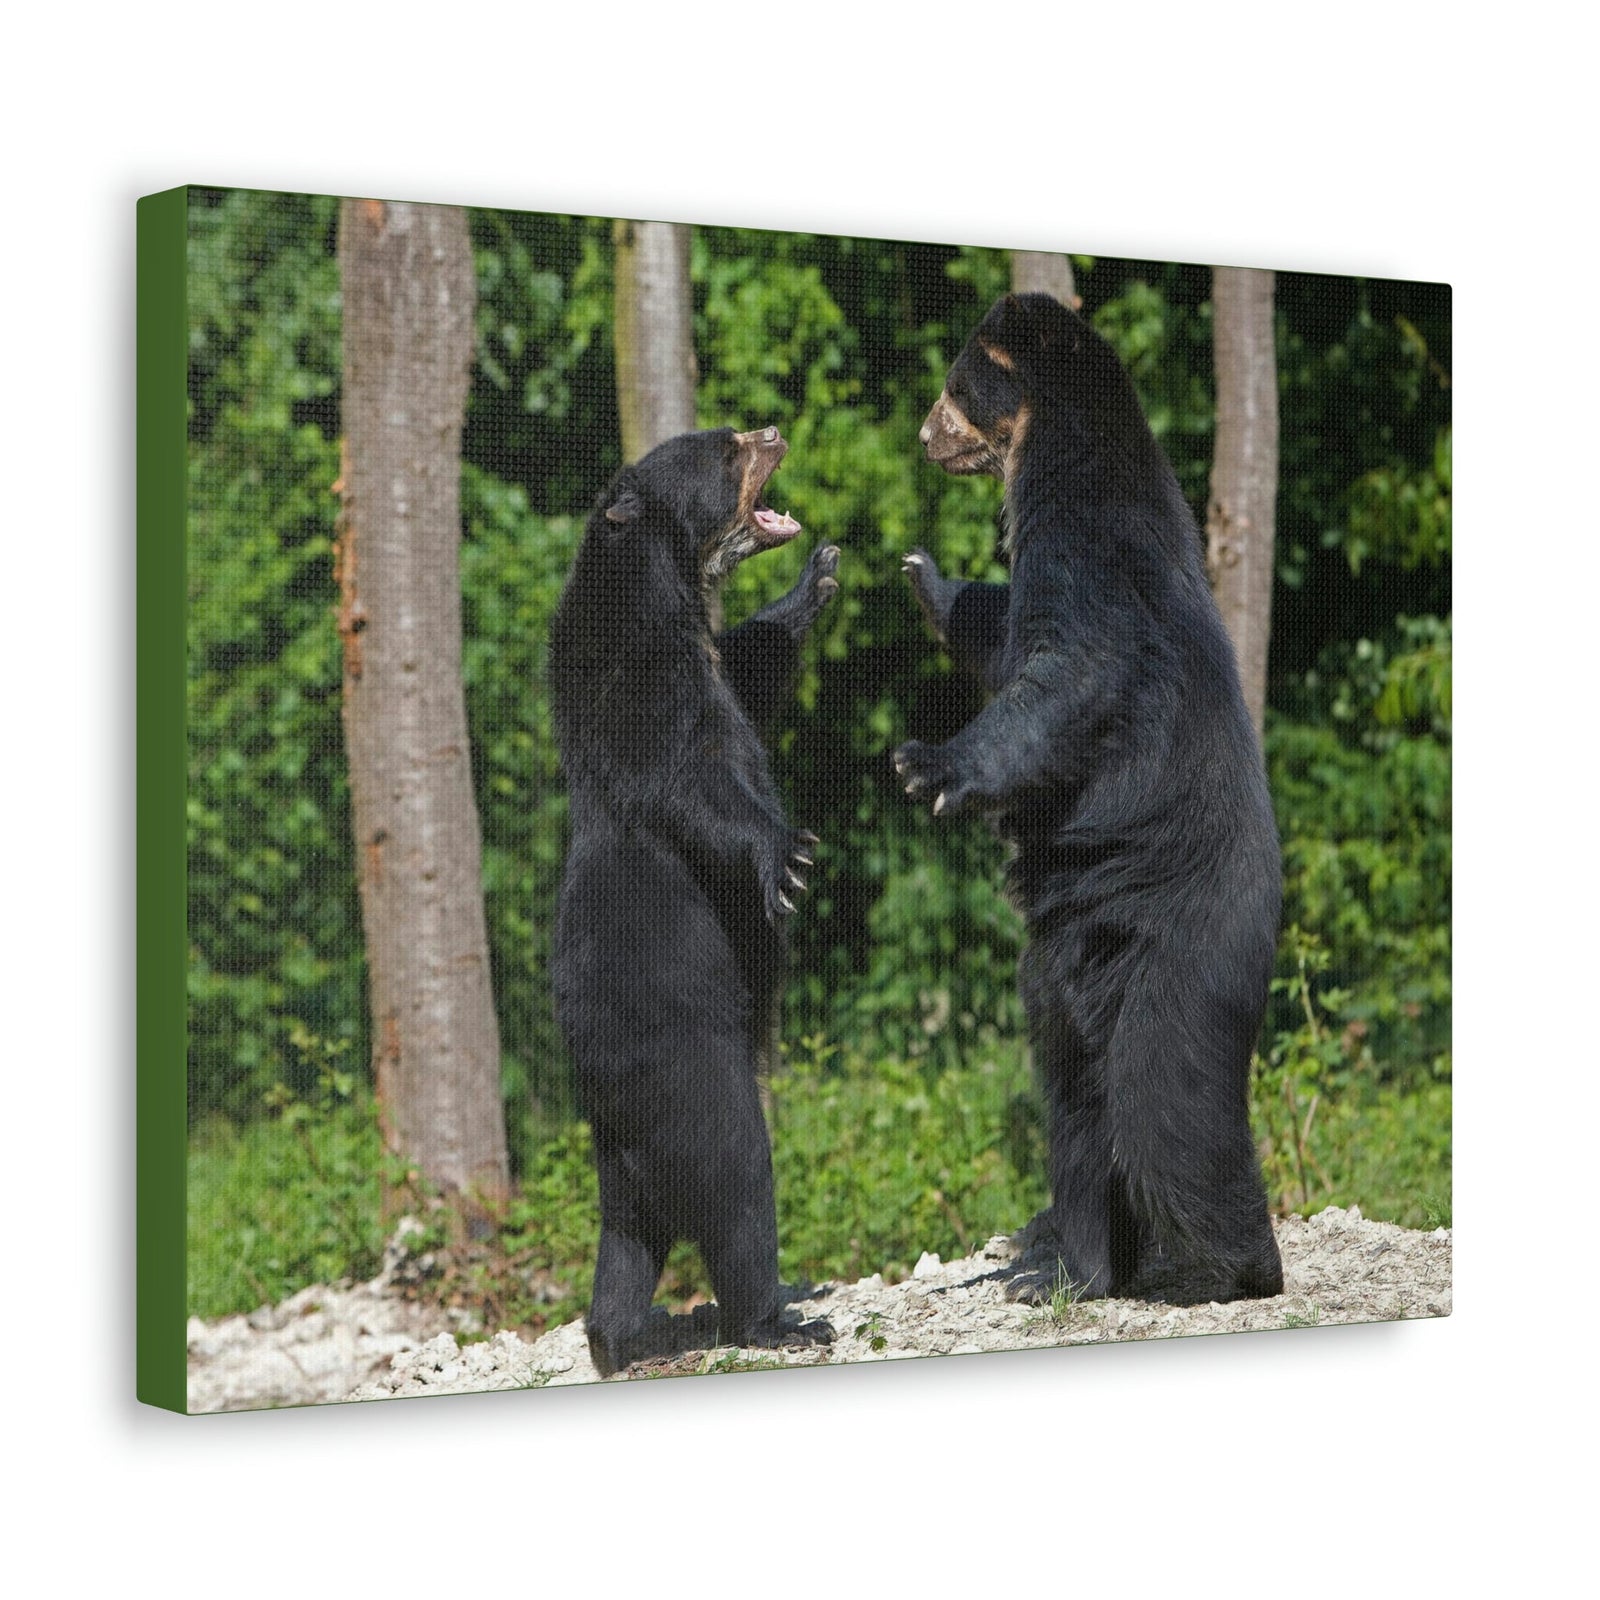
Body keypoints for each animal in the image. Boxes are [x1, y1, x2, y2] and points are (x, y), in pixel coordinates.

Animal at [549, 425, 839, 1376]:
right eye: (724, 449)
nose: (772, 430)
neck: (668, 588)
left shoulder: (712, 659)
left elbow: (753, 662)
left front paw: (816, 580)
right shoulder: (637, 677)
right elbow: (692, 776)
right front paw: (788, 857)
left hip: (619, 1157)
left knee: (625, 1240)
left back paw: (615, 1339)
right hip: (688, 1069)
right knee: (738, 1180)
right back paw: (776, 1318)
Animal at [895, 292, 1284, 1305]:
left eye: (954, 385)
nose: (924, 435)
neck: (1055, 449)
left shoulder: (1091, 550)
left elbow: (1067, 672)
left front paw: (926, 764)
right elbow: (1003, 639)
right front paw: (926, 577)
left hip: (1180, 952)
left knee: (1165, 1101)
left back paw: (1230, 1266)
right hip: (1058, 974)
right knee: (1075, 1106)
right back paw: (1074, 1266)